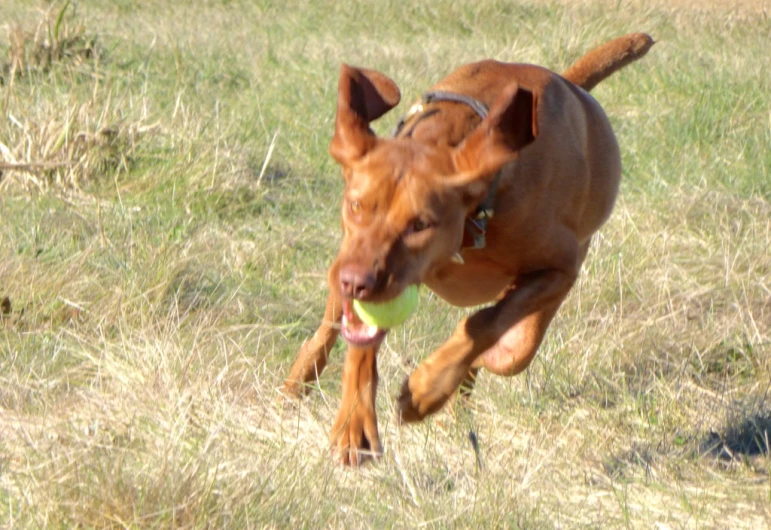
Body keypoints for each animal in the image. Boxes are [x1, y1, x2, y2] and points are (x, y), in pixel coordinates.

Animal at [280, 32, 656, 462]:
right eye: (356, 205)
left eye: (420, 224)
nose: (355, 283)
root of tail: (570, 79)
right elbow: (361, 340)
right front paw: (354, 424)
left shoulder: (560, 269)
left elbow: (485, 322)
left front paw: (426, 390)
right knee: (326, 330)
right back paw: (298, 381)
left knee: (507, 350)